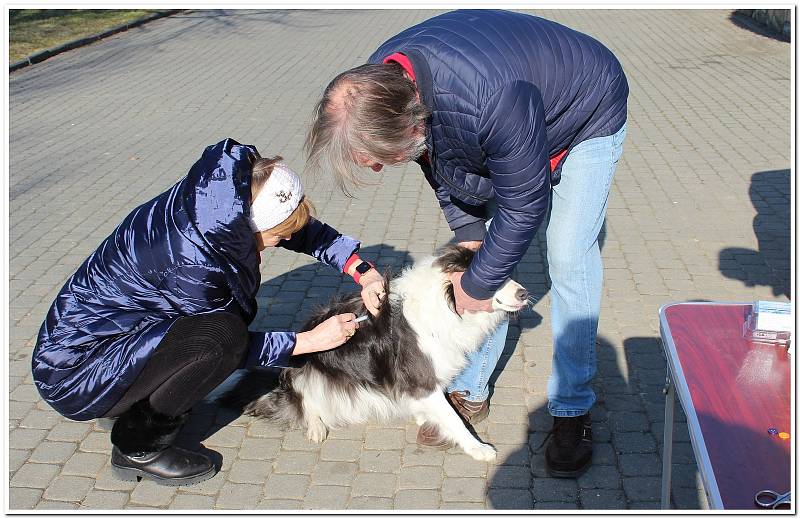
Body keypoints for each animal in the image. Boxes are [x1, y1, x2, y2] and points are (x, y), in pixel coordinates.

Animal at [225, 246, 528, 462]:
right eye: (497, 279)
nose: (525, 293)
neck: (446, 301)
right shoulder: (422, 377)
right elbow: (453, 418)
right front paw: (479, 448)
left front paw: (424, 415)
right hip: (309, 371)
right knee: (304, 398)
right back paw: (315, 427)